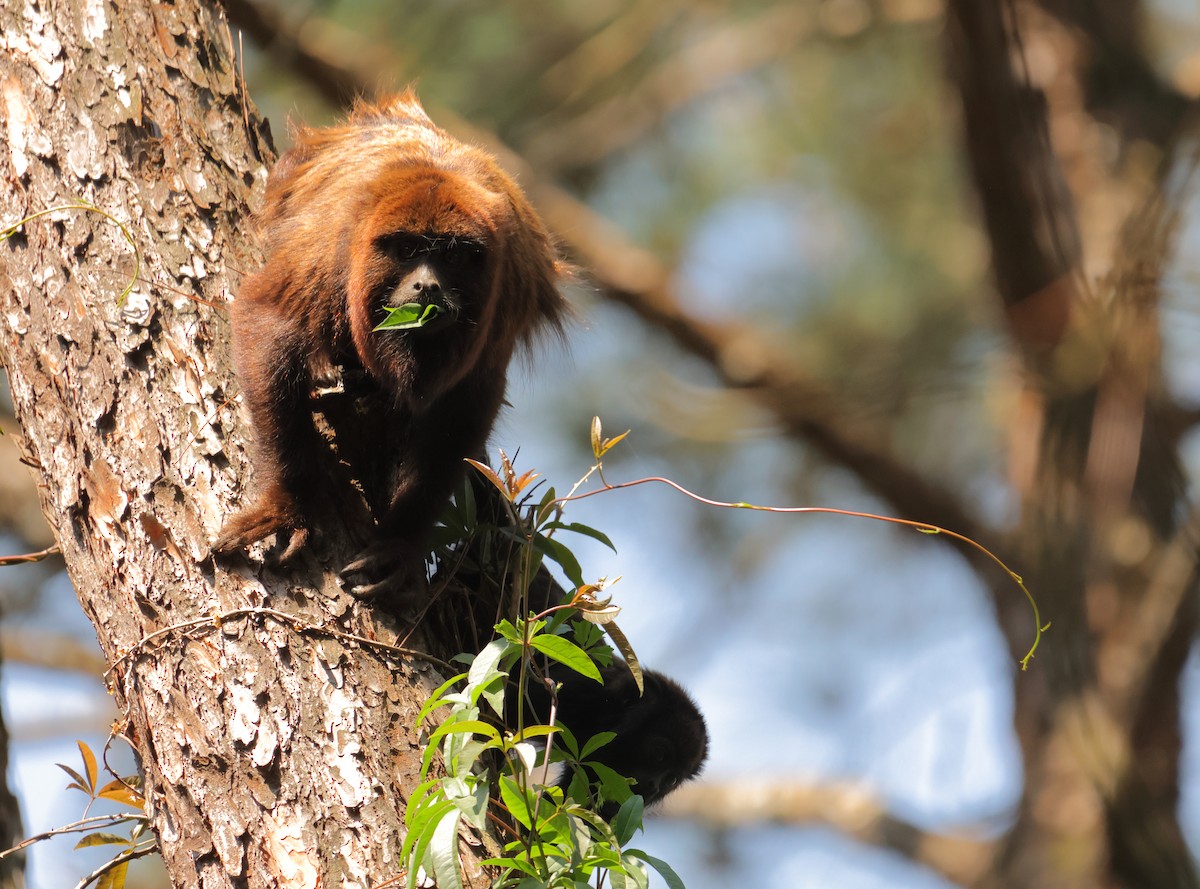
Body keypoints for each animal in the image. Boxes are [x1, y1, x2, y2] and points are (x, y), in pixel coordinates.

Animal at [213, 90, 568, 599]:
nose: (427, 286)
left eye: (452, 256)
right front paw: (288, 502)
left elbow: (467, 405)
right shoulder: (331, 244)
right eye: (406, 251)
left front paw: (400, 542)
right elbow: (268, 321)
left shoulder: (506, 285)